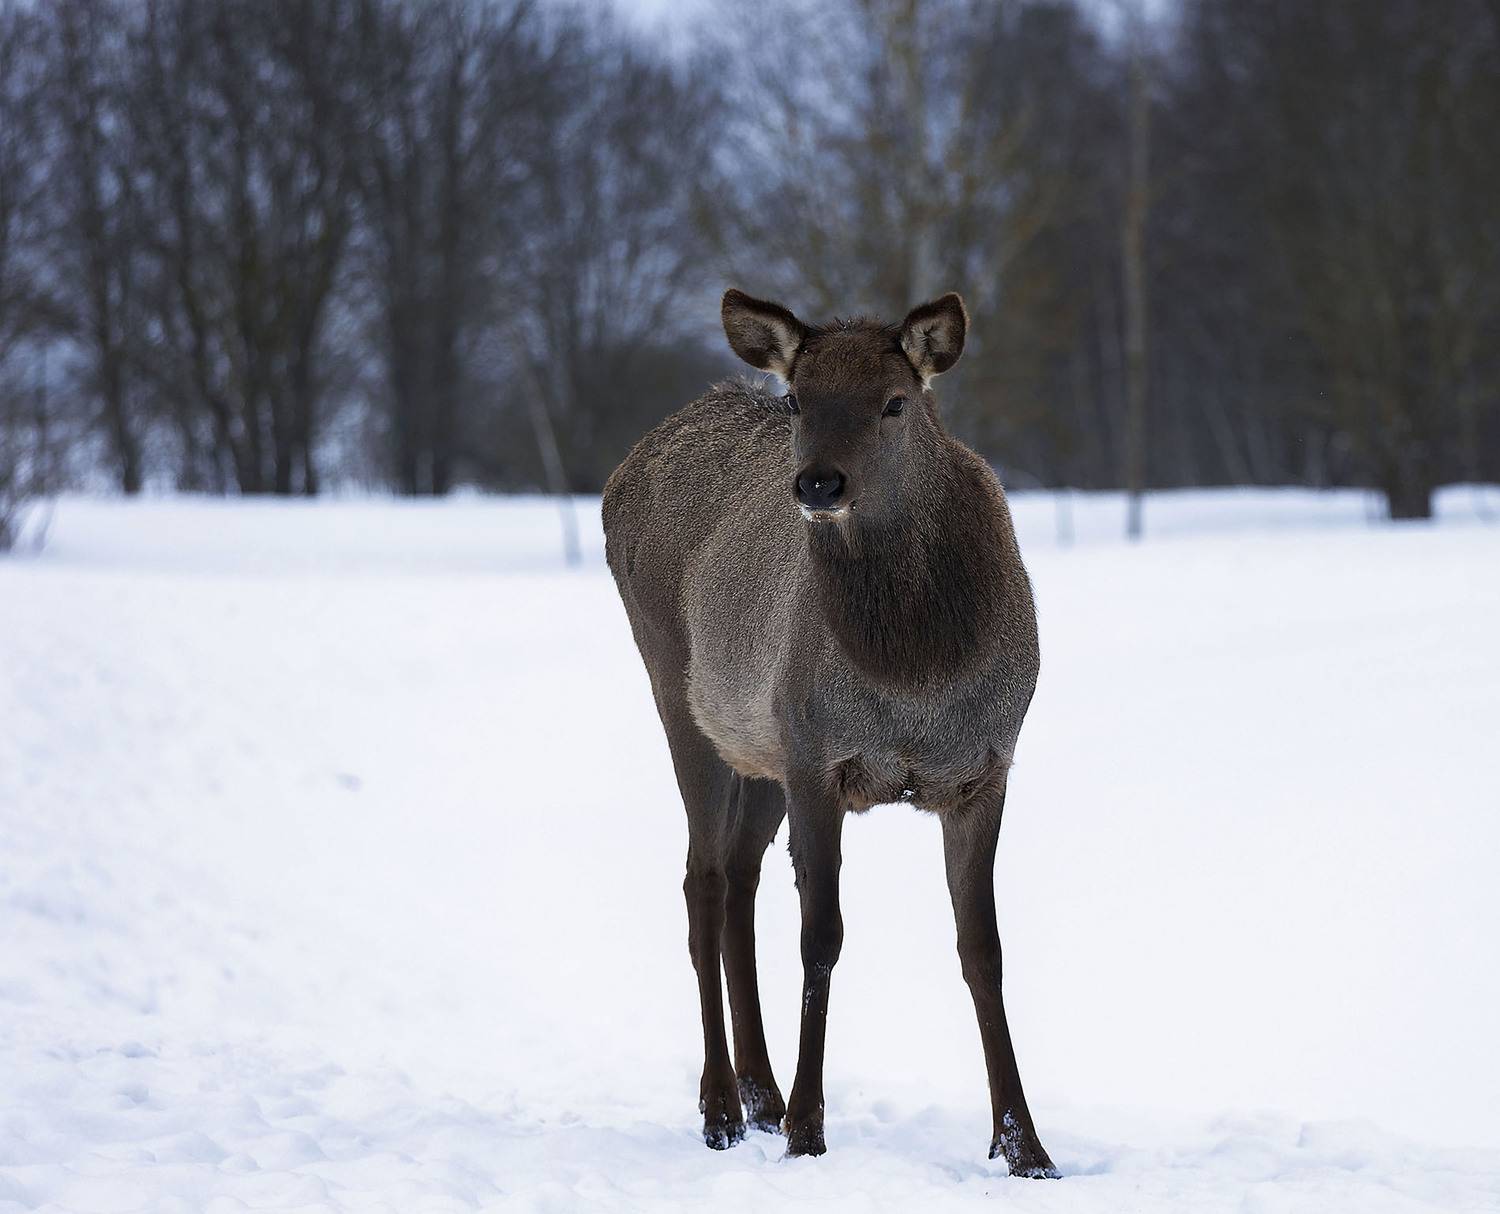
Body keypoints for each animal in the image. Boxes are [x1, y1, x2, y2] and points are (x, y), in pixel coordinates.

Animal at [601, 288, 1057, 1178]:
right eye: (797, 399)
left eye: (895, 401)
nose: (817, 482)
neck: (916, 674)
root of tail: (624, 470)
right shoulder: (818, 756)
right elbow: (822, 939)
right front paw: (810, 1131)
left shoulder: (985, 766)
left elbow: (982, 949)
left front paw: (1025, 1146)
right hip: (684, 694)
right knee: (703, 878)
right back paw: (722, 1107)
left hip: (761, 746)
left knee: (740, 877)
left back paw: (760, 1093)